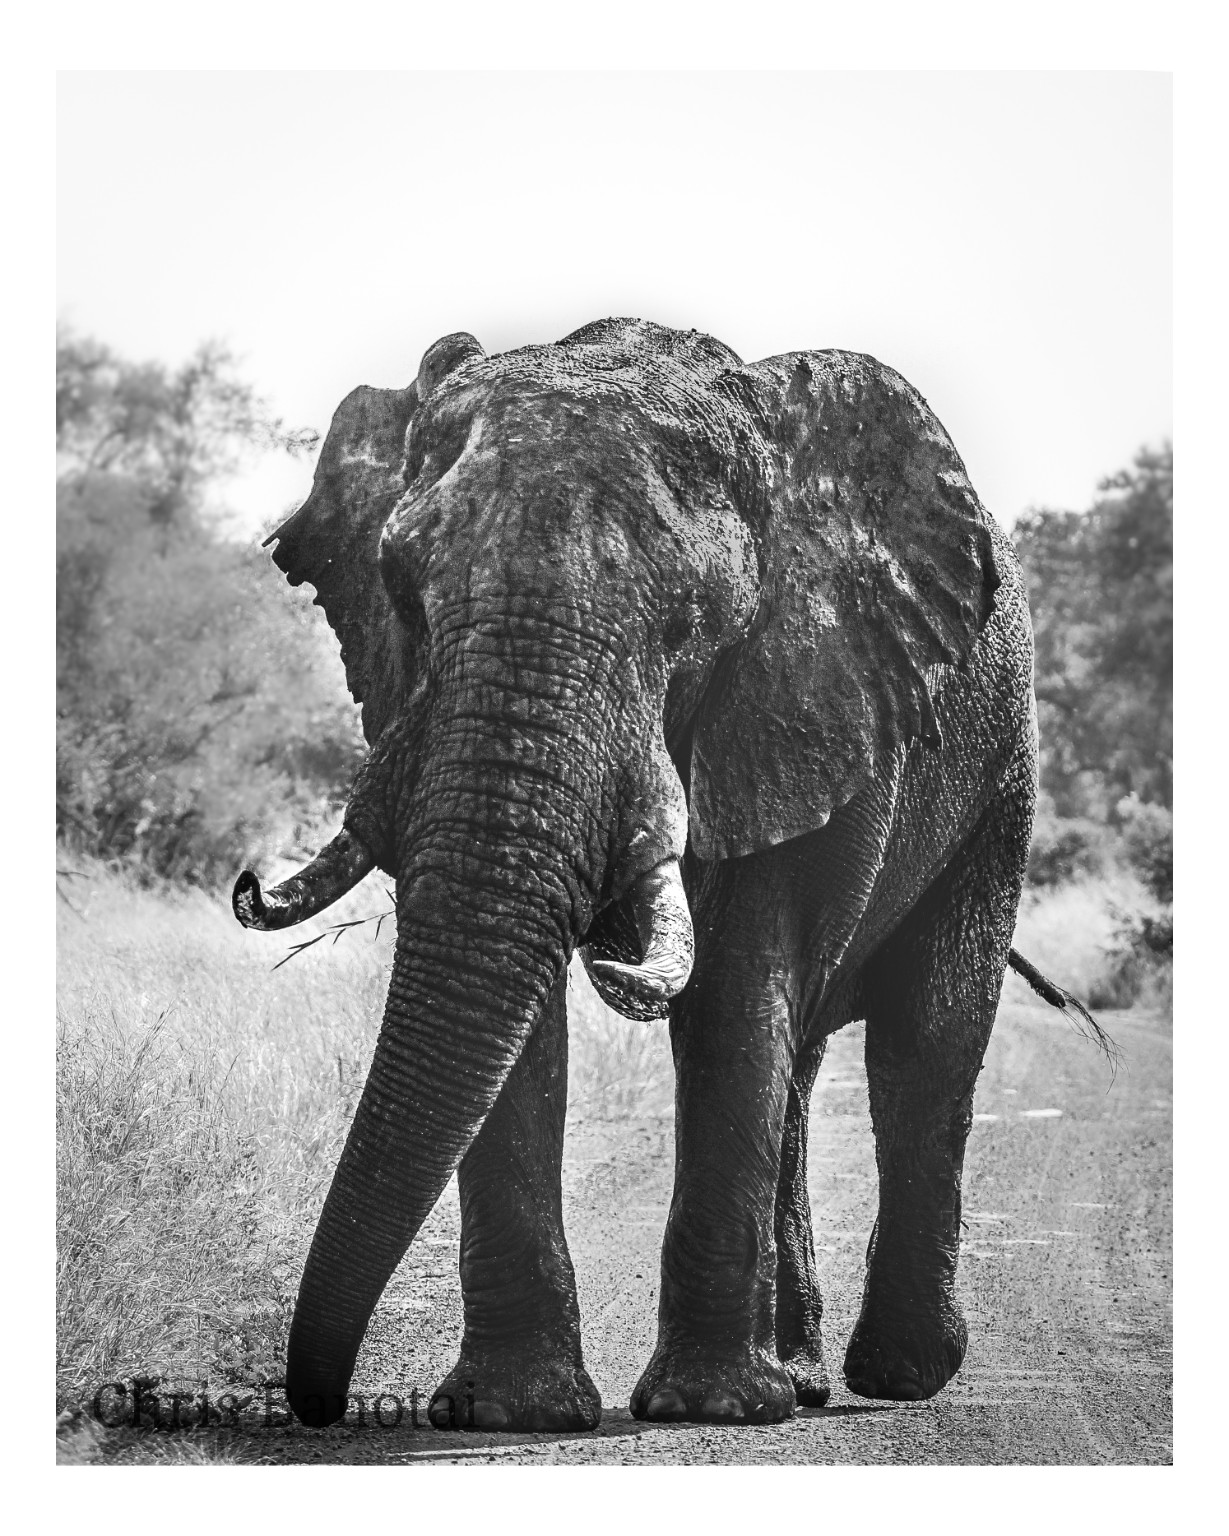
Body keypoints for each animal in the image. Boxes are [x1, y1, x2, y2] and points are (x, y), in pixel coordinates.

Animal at [232, 317, 1102, 1431]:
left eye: (688, 624)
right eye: (398, 595)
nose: (322, 1403)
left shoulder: (802, 699)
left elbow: (733, 991)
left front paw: (709, 1408)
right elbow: (516, 1014)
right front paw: (511, 1413)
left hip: (999, 781)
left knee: (927, 1037)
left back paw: (896, 1376)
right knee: (803, 1058)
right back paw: (802, 1376)